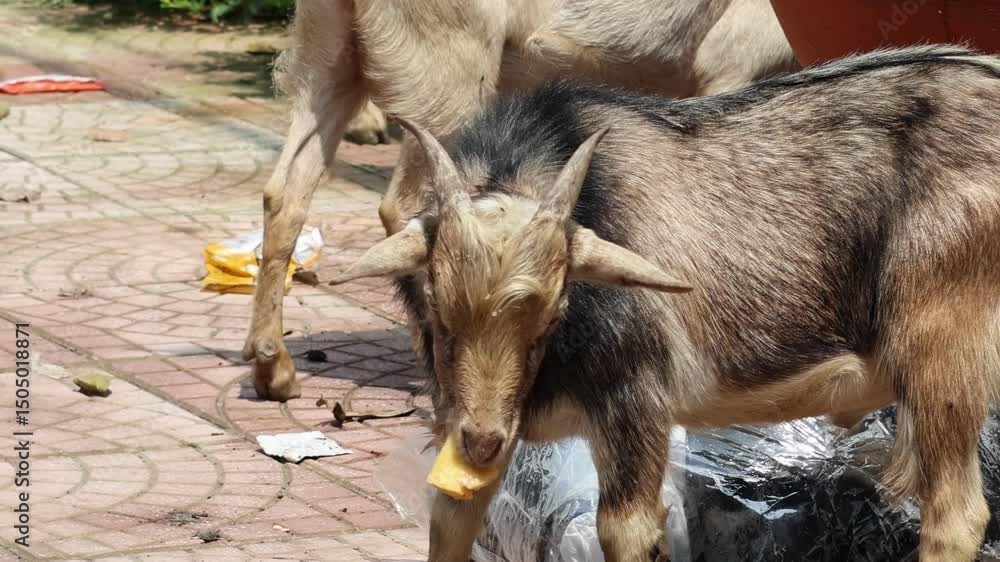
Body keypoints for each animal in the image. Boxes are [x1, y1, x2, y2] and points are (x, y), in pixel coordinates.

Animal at [242, 0, 796, 401]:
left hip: (329, 49)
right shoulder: (734, 62)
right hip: (445, 66)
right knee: (406, 205)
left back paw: (273, 368)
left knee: (286, 191)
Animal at [331, 45, 1000, 562]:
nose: (484, 440)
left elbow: (624, 529)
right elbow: (450, 517)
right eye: (438, 313)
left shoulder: (636, 398)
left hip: (941, 350)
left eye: (553, 314)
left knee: (956, 515)